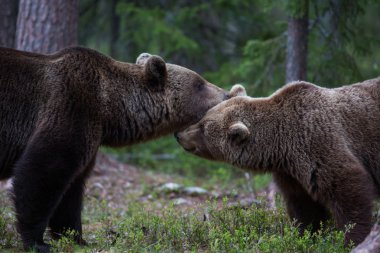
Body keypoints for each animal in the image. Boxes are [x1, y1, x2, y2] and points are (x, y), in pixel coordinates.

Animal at [0, 46, 235, 252]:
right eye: (200, 83)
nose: (227, 94)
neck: (109, 110)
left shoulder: (89, 137)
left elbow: (72, 189)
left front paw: (77, 238)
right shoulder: (70, 107)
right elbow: (42, 172)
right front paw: (37, 242)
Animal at [177, 78, 380, 245]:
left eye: (203, 128)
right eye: (202, 117)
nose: (178, 134)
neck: (282, 146)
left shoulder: (319, 143)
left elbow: (348, 189)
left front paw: (352, 239)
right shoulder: (291, 173)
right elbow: (304, 206)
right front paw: (305, 234)